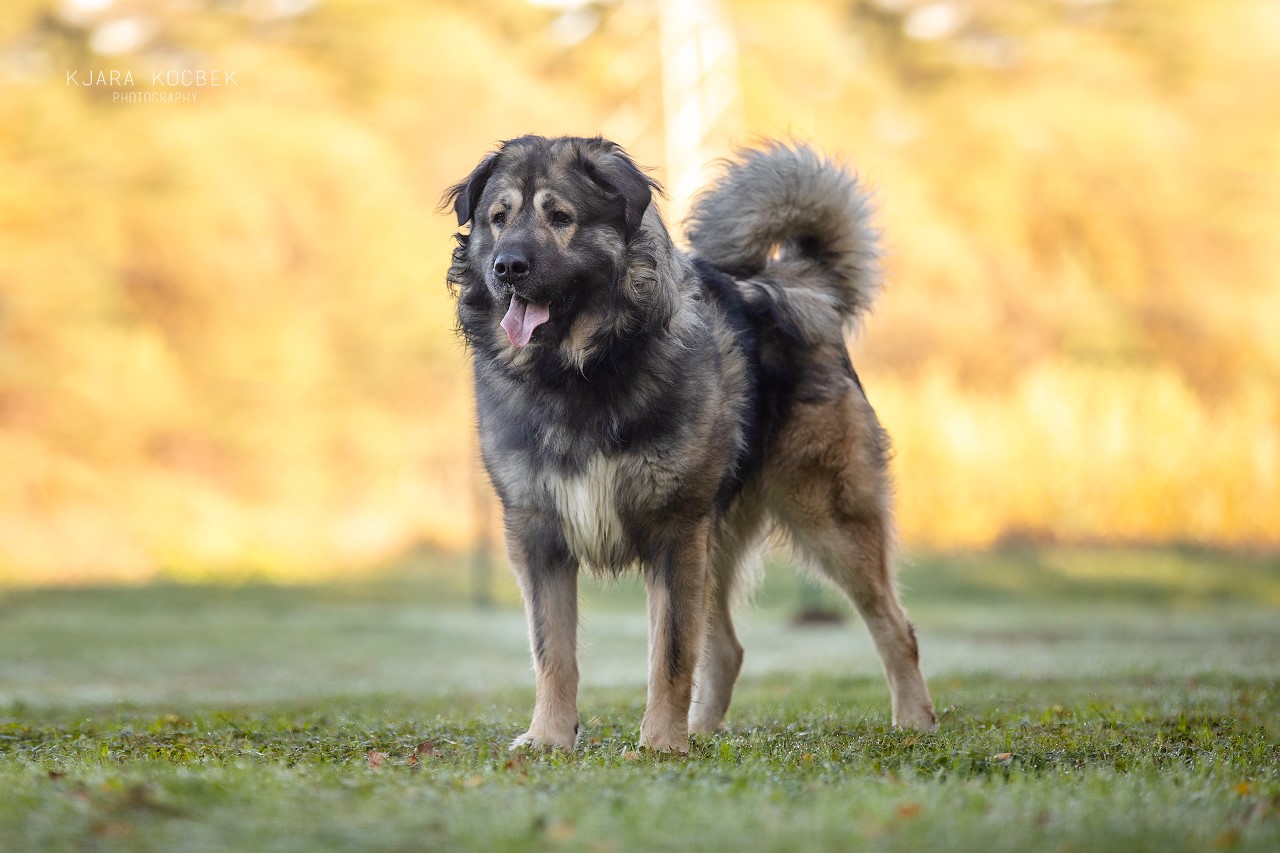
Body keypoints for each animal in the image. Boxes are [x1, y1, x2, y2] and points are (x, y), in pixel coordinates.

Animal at [445, 134, 936, 753]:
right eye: (498, 218)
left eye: (560, 217)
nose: (507, 266)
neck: (579, 371)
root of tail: (798, 288)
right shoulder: (538, 534)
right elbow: (553, 651)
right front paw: (549, 737)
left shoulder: (675, 531)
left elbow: (671, 652)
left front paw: (660, 744)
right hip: (721, 538)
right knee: (727, 648)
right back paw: (703, 732)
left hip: (829, 518)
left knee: (895, 626)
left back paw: (915, 721)